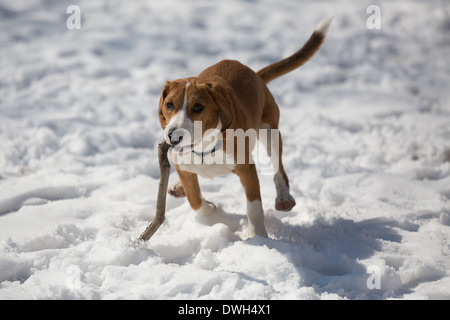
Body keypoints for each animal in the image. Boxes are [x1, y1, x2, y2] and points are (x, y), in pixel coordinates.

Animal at [160, 17, 332, 238]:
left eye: (198, 107)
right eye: (169, 105)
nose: (173, 136)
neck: (204, 147)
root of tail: (255, 75)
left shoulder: (247, 170)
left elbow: (254, 207)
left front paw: (258, 237)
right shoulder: (184, 167)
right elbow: (195, 200)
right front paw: (209, 208)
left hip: (270, 131)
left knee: (279, 170)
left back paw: (284, 197)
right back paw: (178, 187)